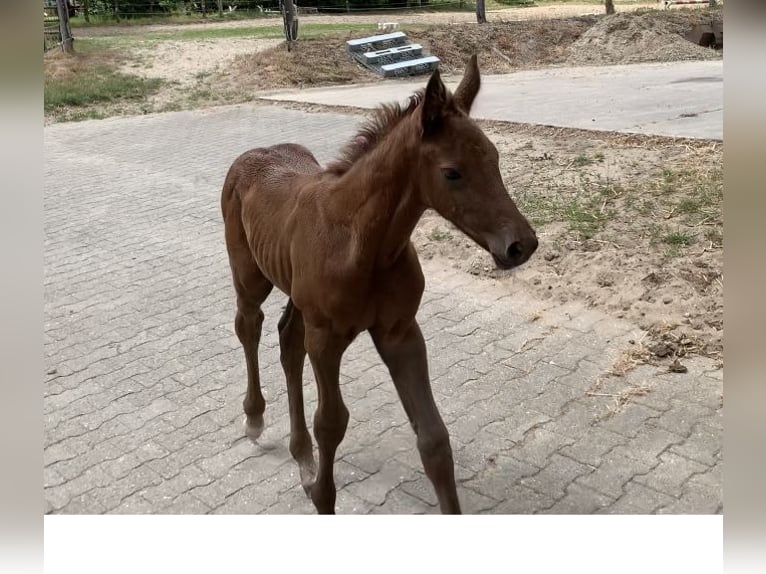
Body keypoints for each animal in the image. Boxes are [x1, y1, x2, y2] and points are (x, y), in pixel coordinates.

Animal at [221, 55, 538, 514]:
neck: (364, 245)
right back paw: (255, 418)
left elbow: (433, 437)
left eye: (495, 158)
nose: (520, 245)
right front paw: (322, 496)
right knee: (249, 326)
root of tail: (251, 154)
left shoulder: (399, 331)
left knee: (287, 340)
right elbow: (331, 422)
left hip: (297, 296)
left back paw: (302, 458)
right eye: (452, 173)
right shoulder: (326, 339)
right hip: (250, 278)